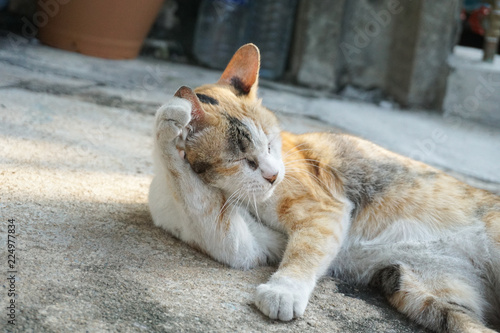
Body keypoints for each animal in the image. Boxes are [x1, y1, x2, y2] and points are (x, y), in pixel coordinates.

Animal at [148, 44, 500, 332]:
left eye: (271, 144)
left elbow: (307, 250)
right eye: (244, 160)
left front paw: (284, 291)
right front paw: (169, 127)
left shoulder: (324, 208)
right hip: (423, 290)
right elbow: (199, 205)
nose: (274, 176)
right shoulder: (245, 241)